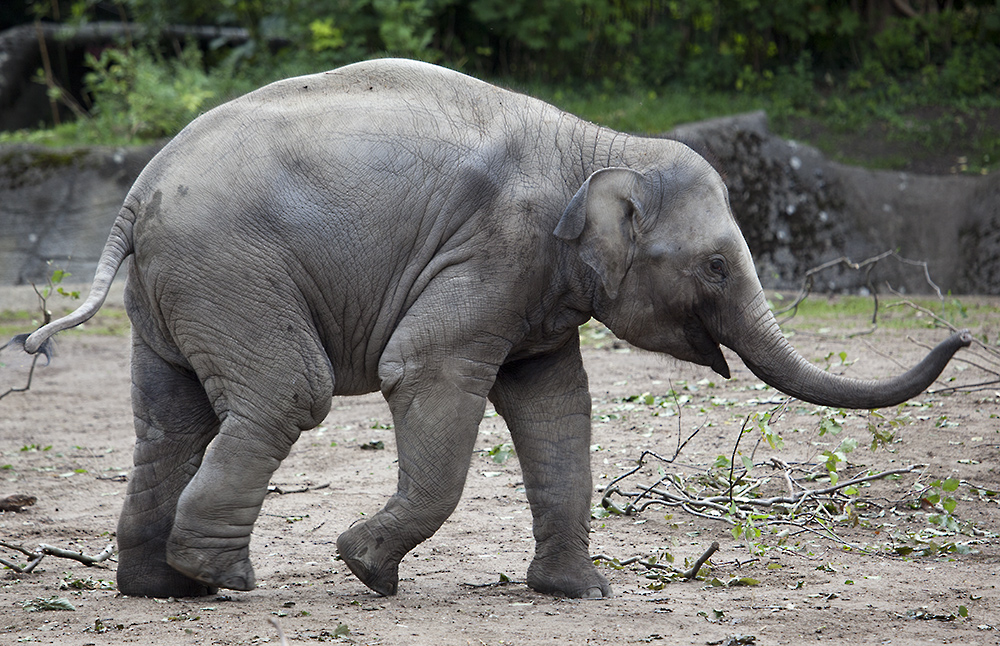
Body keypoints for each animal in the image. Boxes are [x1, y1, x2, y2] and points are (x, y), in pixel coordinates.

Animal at [15, 58, 968, 600]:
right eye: (715, 269)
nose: (963, 339)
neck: (600, 144)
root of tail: (140, 188)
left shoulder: (534, 284)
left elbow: (557, 405)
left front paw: (580, 594)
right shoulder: (495, 252)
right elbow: (423, 370)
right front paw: (366, 568)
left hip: (181, 284)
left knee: (169, 414)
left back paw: (160, 590)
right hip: (232, 268)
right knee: (289, 394)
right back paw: (223, 581)